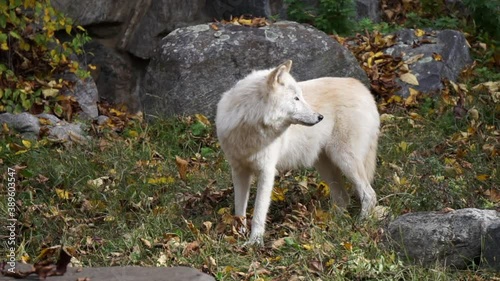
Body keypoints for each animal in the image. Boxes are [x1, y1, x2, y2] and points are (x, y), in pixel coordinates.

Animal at [215, 60, 378, 244]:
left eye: (300, 96)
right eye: (296, 98)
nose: (320, 117)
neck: (250, 127)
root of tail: (363, 89)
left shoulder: (267, 172)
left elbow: (258, 212)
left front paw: (254, 242)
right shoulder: (238, 171)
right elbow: (239, 210)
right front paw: (238, 235)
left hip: (345, 160)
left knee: (369, 195)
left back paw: (360, 224)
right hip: (325, 166)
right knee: (343, 198)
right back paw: (330, 224)